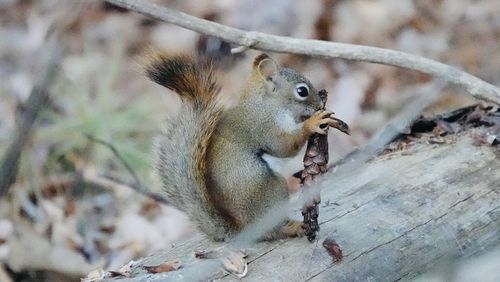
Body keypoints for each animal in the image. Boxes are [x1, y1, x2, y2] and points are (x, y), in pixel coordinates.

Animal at [146, 53, 340, 242]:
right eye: (302, 91)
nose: (319, 105)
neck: (265, 105)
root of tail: (244, 229)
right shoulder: (264, 127)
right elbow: (283, 146)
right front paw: (313, 123)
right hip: (269, 189)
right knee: (273, 230)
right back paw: (293, 227)